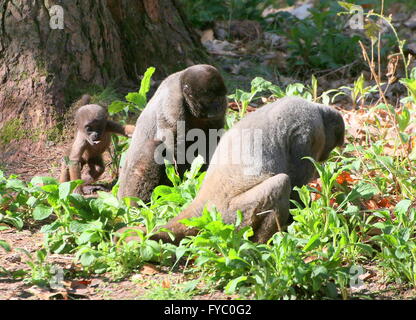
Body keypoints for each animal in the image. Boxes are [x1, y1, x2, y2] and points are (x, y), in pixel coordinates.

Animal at [117, 63, 228, 201]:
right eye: (212, 99)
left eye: (221, 97)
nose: (219, 106)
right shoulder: (173, 103)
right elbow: (173, 146)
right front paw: (183, 186)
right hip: (127, 191)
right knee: (153, 147)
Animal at [119, 96, 344, 244]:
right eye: (330, 146)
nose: (326, 156)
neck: (316, 110)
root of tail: (204, 202)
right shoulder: (308, 133)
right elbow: (297, 188)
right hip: (232, 214)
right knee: (281, 183)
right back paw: (262, 244)